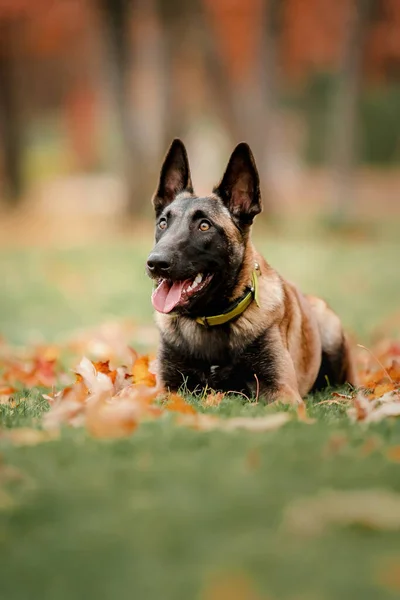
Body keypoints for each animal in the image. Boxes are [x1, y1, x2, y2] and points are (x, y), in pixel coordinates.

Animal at [146, 138, 356, 406]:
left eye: (204, 226)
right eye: (163, 223)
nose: (155, 263)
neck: (211, 321)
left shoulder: (281, 390)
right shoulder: (166, 389)